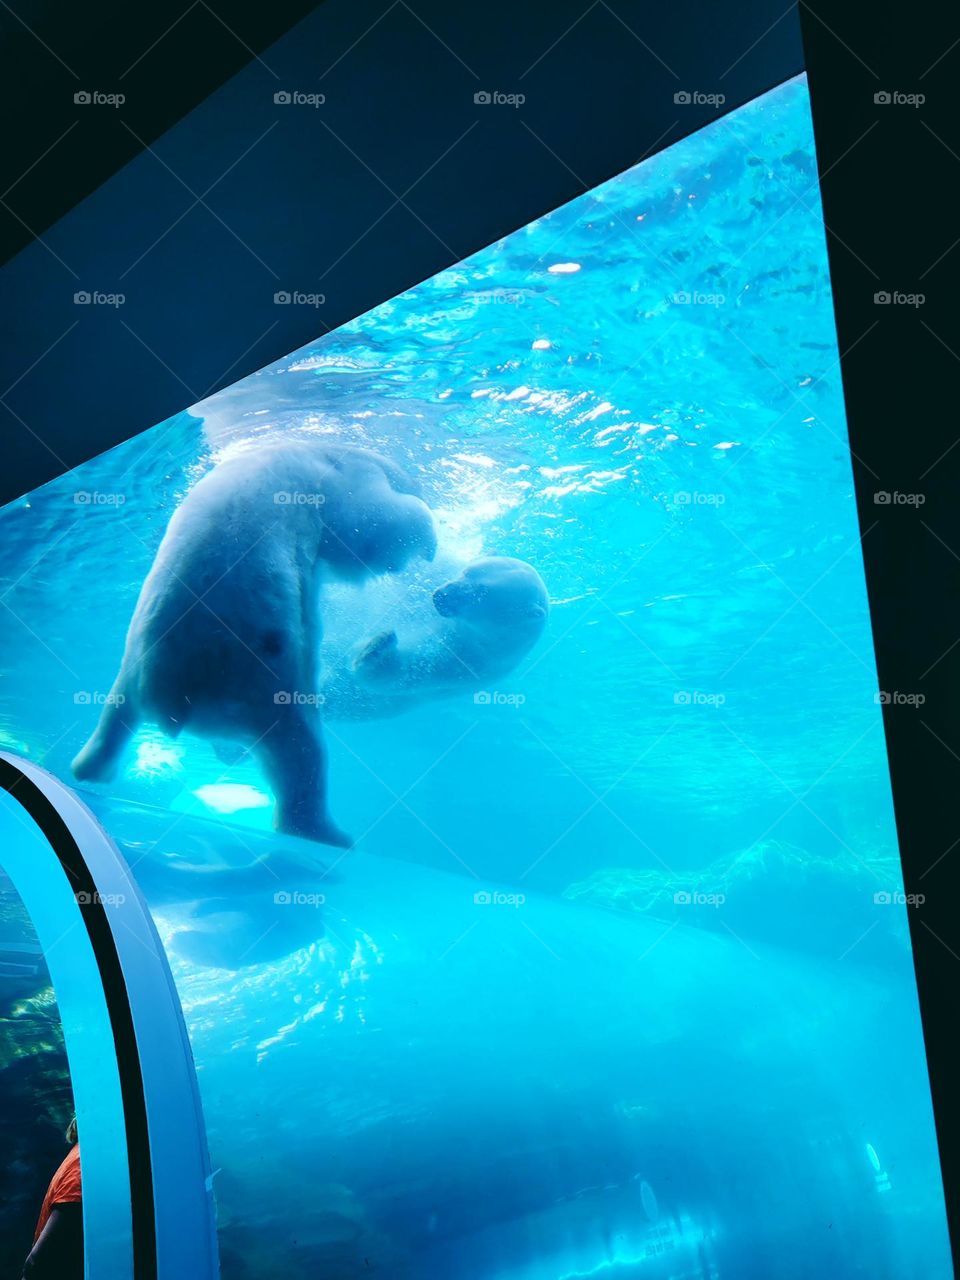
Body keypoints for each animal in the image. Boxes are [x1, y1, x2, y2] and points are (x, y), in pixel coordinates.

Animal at [71, 441, 437, 848]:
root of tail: (173, 700)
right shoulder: (332, 489)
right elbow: (371, 528)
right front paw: (428, 534)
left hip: (133, 671)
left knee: (113, 720)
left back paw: (91, 768)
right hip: (266, 689)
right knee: (302, 754)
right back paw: (329, 833)